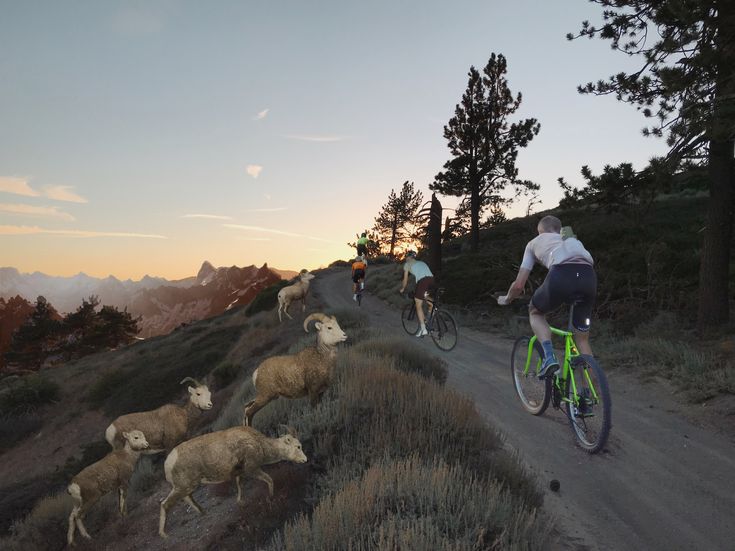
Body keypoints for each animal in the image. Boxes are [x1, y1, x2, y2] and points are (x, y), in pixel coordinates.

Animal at [158, 424, 308, 536]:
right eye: (298, 446)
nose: (305, 460)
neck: (259, 443)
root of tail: (168, 462)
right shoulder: (252, 469)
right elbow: (269, 480)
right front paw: (271, 497)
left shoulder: (240, 473)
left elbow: (239, 485)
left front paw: (240, 502)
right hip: (183, 487)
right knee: (165, 504)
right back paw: (164, 535)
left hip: (187, 487)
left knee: (187, 498)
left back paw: (203, 512)